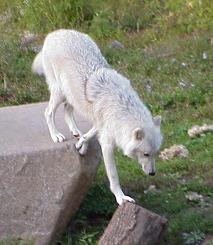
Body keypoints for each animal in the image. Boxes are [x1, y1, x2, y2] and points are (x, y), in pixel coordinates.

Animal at [32, 29, 163, 205]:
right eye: (145, 154)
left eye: (155, 153)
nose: (152, 173)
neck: (121, 107)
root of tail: (55, 33)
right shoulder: (107, 145)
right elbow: (114, 176)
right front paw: (121, 198)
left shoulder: (102, 124)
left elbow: (90, 133)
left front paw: (82, 143)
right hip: (59, 93)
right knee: (48, 112)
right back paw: (56, 135)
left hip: (71, 96)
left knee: (67, 110)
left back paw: (75, 131)